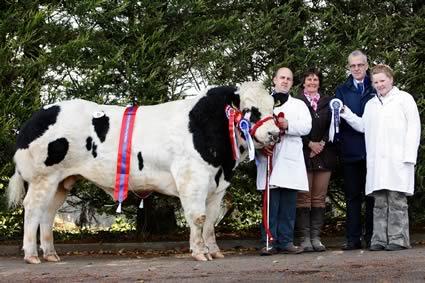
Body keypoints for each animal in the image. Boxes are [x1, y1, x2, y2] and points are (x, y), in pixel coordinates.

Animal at [7, 81, 278, 264]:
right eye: (251, 110)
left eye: (272, 108)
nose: (275, 133)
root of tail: (34, 119)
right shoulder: (192, 178)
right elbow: (198, 218)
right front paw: (200, 253)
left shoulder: (218, 184)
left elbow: (211, 221)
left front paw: (215, 251)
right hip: (43, 177)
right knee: (32, 208)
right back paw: (32, 255)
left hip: (62, 181)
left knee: (48, 213)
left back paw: (51, 254)